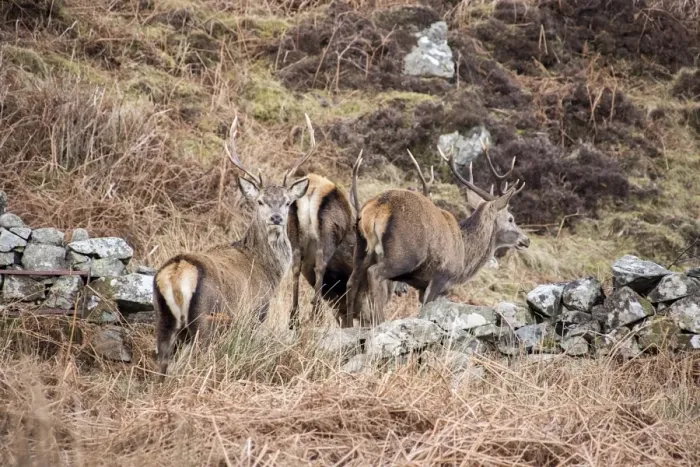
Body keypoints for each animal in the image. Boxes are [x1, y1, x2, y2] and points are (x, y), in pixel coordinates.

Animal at [153, 115, 314, 380]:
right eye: (260, 202)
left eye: (287, 202)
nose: (276, 218)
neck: (265, 268)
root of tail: (177, 272)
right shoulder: (256, 310)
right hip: (205, 318)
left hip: (162, 316)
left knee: (162, 359)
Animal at [346, 146, 530, 326]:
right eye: (511, 218)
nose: (526, 240)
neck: (464, 256)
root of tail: (378, 207)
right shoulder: (441, 276)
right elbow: (425, 310)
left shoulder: (423, 284)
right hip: (404, 255)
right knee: (375, 274)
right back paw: (379, 322)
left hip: (361, 247)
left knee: (351, 281)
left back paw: (347, 324)